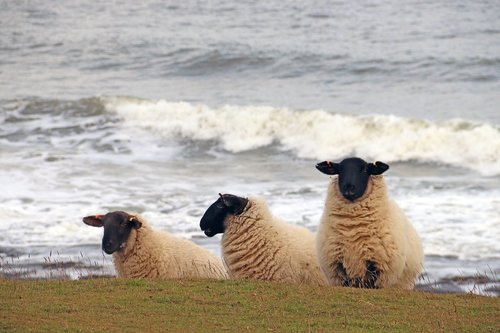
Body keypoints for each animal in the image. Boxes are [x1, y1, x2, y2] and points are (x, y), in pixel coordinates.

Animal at [316, 157, 422, 290]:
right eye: (340, 170)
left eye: (365, 169)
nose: (349, 188)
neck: (352, 229)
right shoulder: (338, 267)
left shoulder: (377, 266)